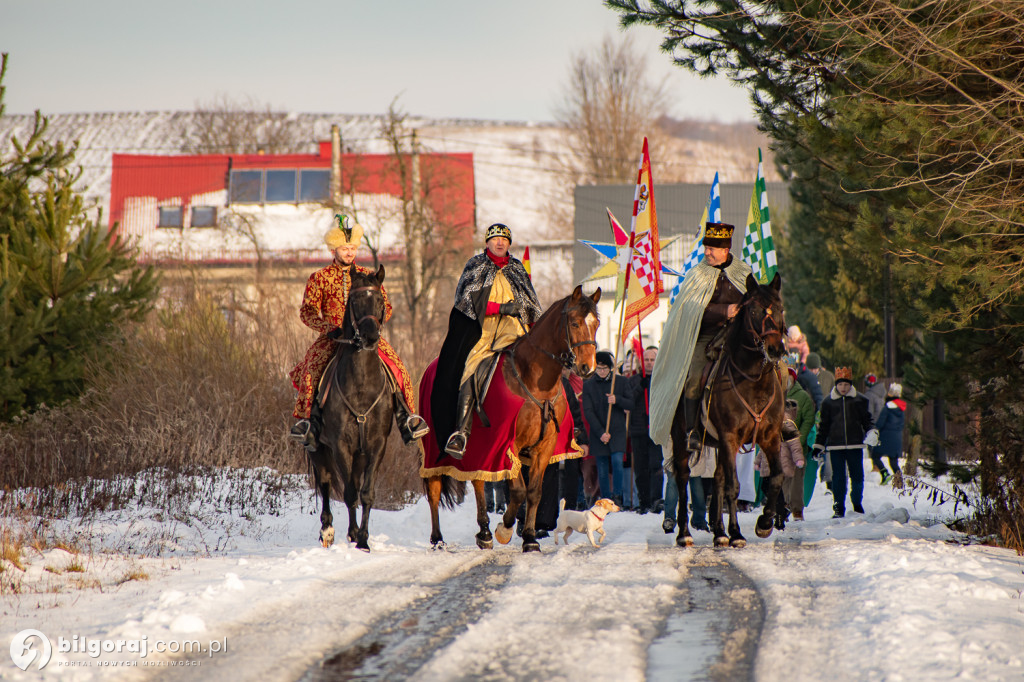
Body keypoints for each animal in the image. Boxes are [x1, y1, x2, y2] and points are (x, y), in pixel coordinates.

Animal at [307, 262, 391, 548]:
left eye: (380, 300)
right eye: (354, 300)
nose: (369, 336)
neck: (362, 386)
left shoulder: (376, 445)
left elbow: (366, 493)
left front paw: (363, 539)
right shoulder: (340, 445)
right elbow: (350, 493)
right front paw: (354, 534)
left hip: (360, 454)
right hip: (318, 448)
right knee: (325, 481)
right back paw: (327, 530)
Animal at [421, 284, 598, 548]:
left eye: (596, 323)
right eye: (575, 323)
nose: (588, 367)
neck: (535, 383)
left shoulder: (544, 448)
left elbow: (534, 492)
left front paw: (530, 538)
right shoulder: (508, 445)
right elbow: (518, 491)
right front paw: (505, 529)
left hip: (479, 451)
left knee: (478, 480)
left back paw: (483, 532)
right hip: (435, 448)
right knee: (434, 489)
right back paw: (438, 539)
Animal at [667, 272, 786, 548]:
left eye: (780, 308)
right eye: (753, 310)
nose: (775, 349)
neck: (753, 381)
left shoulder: (770, 437)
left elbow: (776, 477)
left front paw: (764, 523)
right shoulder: (729, 437)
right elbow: (734, 486)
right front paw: (737, 534)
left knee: (718, 478)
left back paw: (719, 532)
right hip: (682, 440)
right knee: (682, 477)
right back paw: (684, 533)